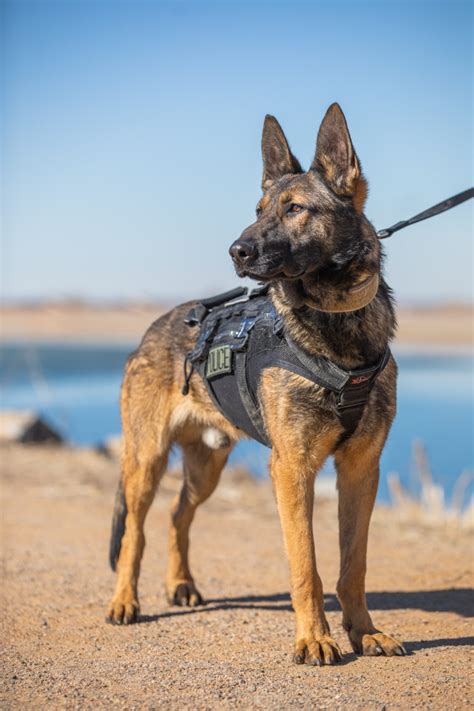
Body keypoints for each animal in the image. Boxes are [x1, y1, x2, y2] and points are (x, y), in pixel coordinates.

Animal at [106, 105, 404, 668]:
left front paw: (364, 631)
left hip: (206, 467)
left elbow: (352, 565)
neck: (336, 324)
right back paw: (123, 601)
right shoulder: (292, 469)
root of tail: (155, 325)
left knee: (178, 515)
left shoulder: (361, 470)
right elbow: (306, 566)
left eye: (295, 209)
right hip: (145, 461)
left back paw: (181, 584)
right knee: (134, 532)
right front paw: (315, 638)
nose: (236, 250)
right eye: (259, 209)